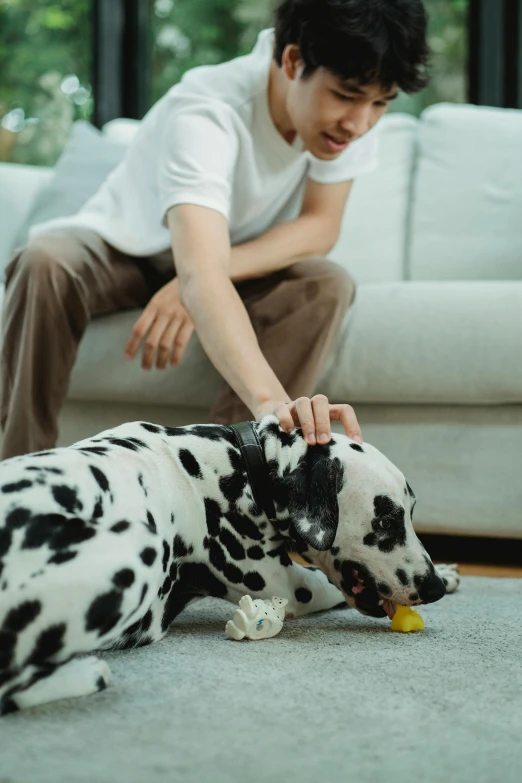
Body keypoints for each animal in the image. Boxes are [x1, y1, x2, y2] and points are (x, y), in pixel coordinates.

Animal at [0, 416, 456, 716]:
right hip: (139, 549)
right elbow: (324, 588)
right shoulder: (290, 586)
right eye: (386, 520)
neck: (241, 466)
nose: (432, 586)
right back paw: (84, 675)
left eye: (411, 511)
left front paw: (451, 574)